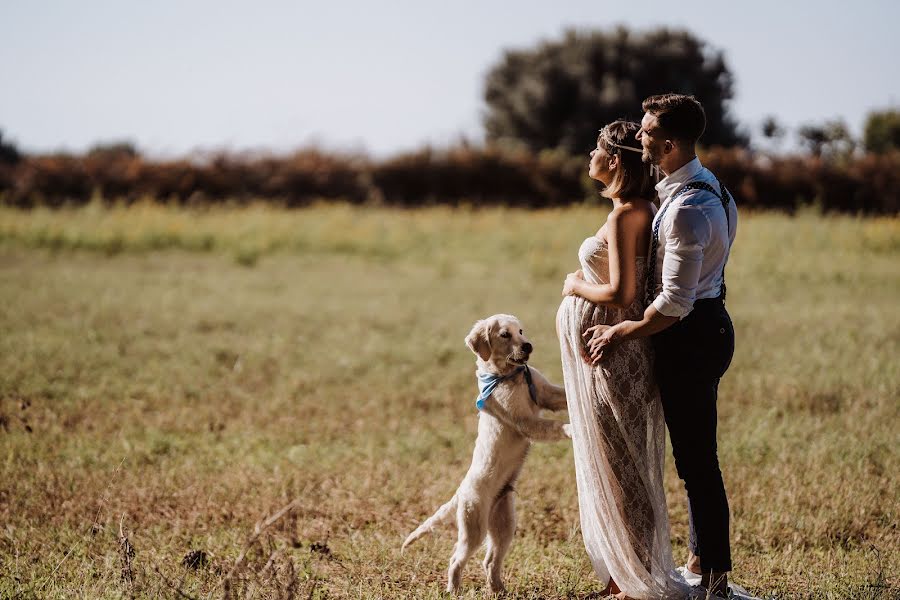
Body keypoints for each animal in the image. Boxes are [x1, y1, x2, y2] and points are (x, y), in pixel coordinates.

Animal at [400, 314, 568, 596]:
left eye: (520, 331)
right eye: (504, 335)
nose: (528, 346)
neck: (510, 376)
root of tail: (460, 492)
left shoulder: (547, 394)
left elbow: (563, 395)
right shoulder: (525, 422)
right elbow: (554, 426)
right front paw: (573, 427)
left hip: (504, 523)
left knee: (490, 561)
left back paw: (498, 589)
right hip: (474, 526)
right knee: (456, 559)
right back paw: (454, 590)